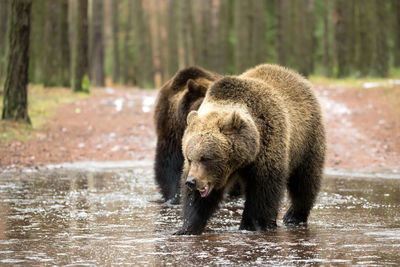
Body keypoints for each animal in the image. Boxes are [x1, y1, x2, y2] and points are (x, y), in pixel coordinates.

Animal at [175, 63, 324, 236]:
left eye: (206, 158)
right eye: (189, 157)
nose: (191, 181)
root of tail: (295, 75)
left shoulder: (268, 145)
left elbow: (263, 190)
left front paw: (250, 224)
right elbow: (197, 201)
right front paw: (187, 228)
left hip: (306, 139)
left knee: (305, 180)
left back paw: (293, 216)